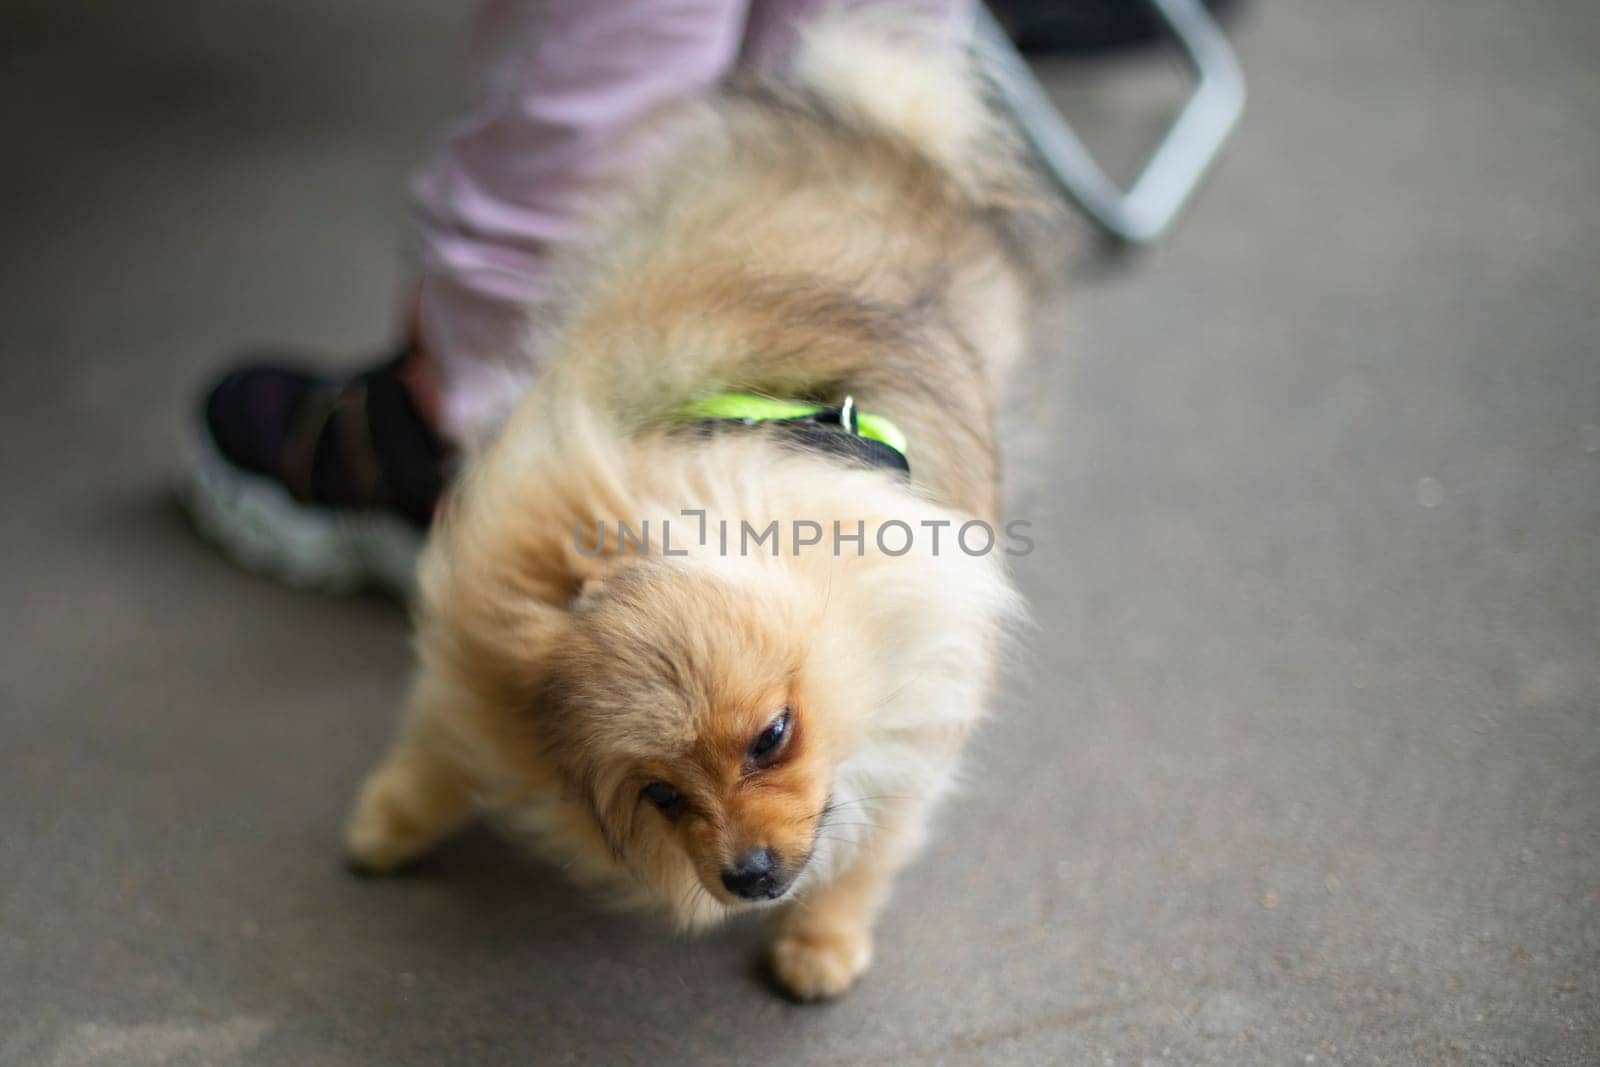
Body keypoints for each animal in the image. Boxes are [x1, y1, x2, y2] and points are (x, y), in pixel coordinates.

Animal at [347, 12, 1036, 1004]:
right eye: (661, 795)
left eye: (772, 737)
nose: (747, 875)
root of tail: (867, 116)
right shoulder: (486, 630)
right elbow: (442, 735)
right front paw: (392, 817)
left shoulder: (923, 698)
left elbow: (873, 846)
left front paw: (822, 942)